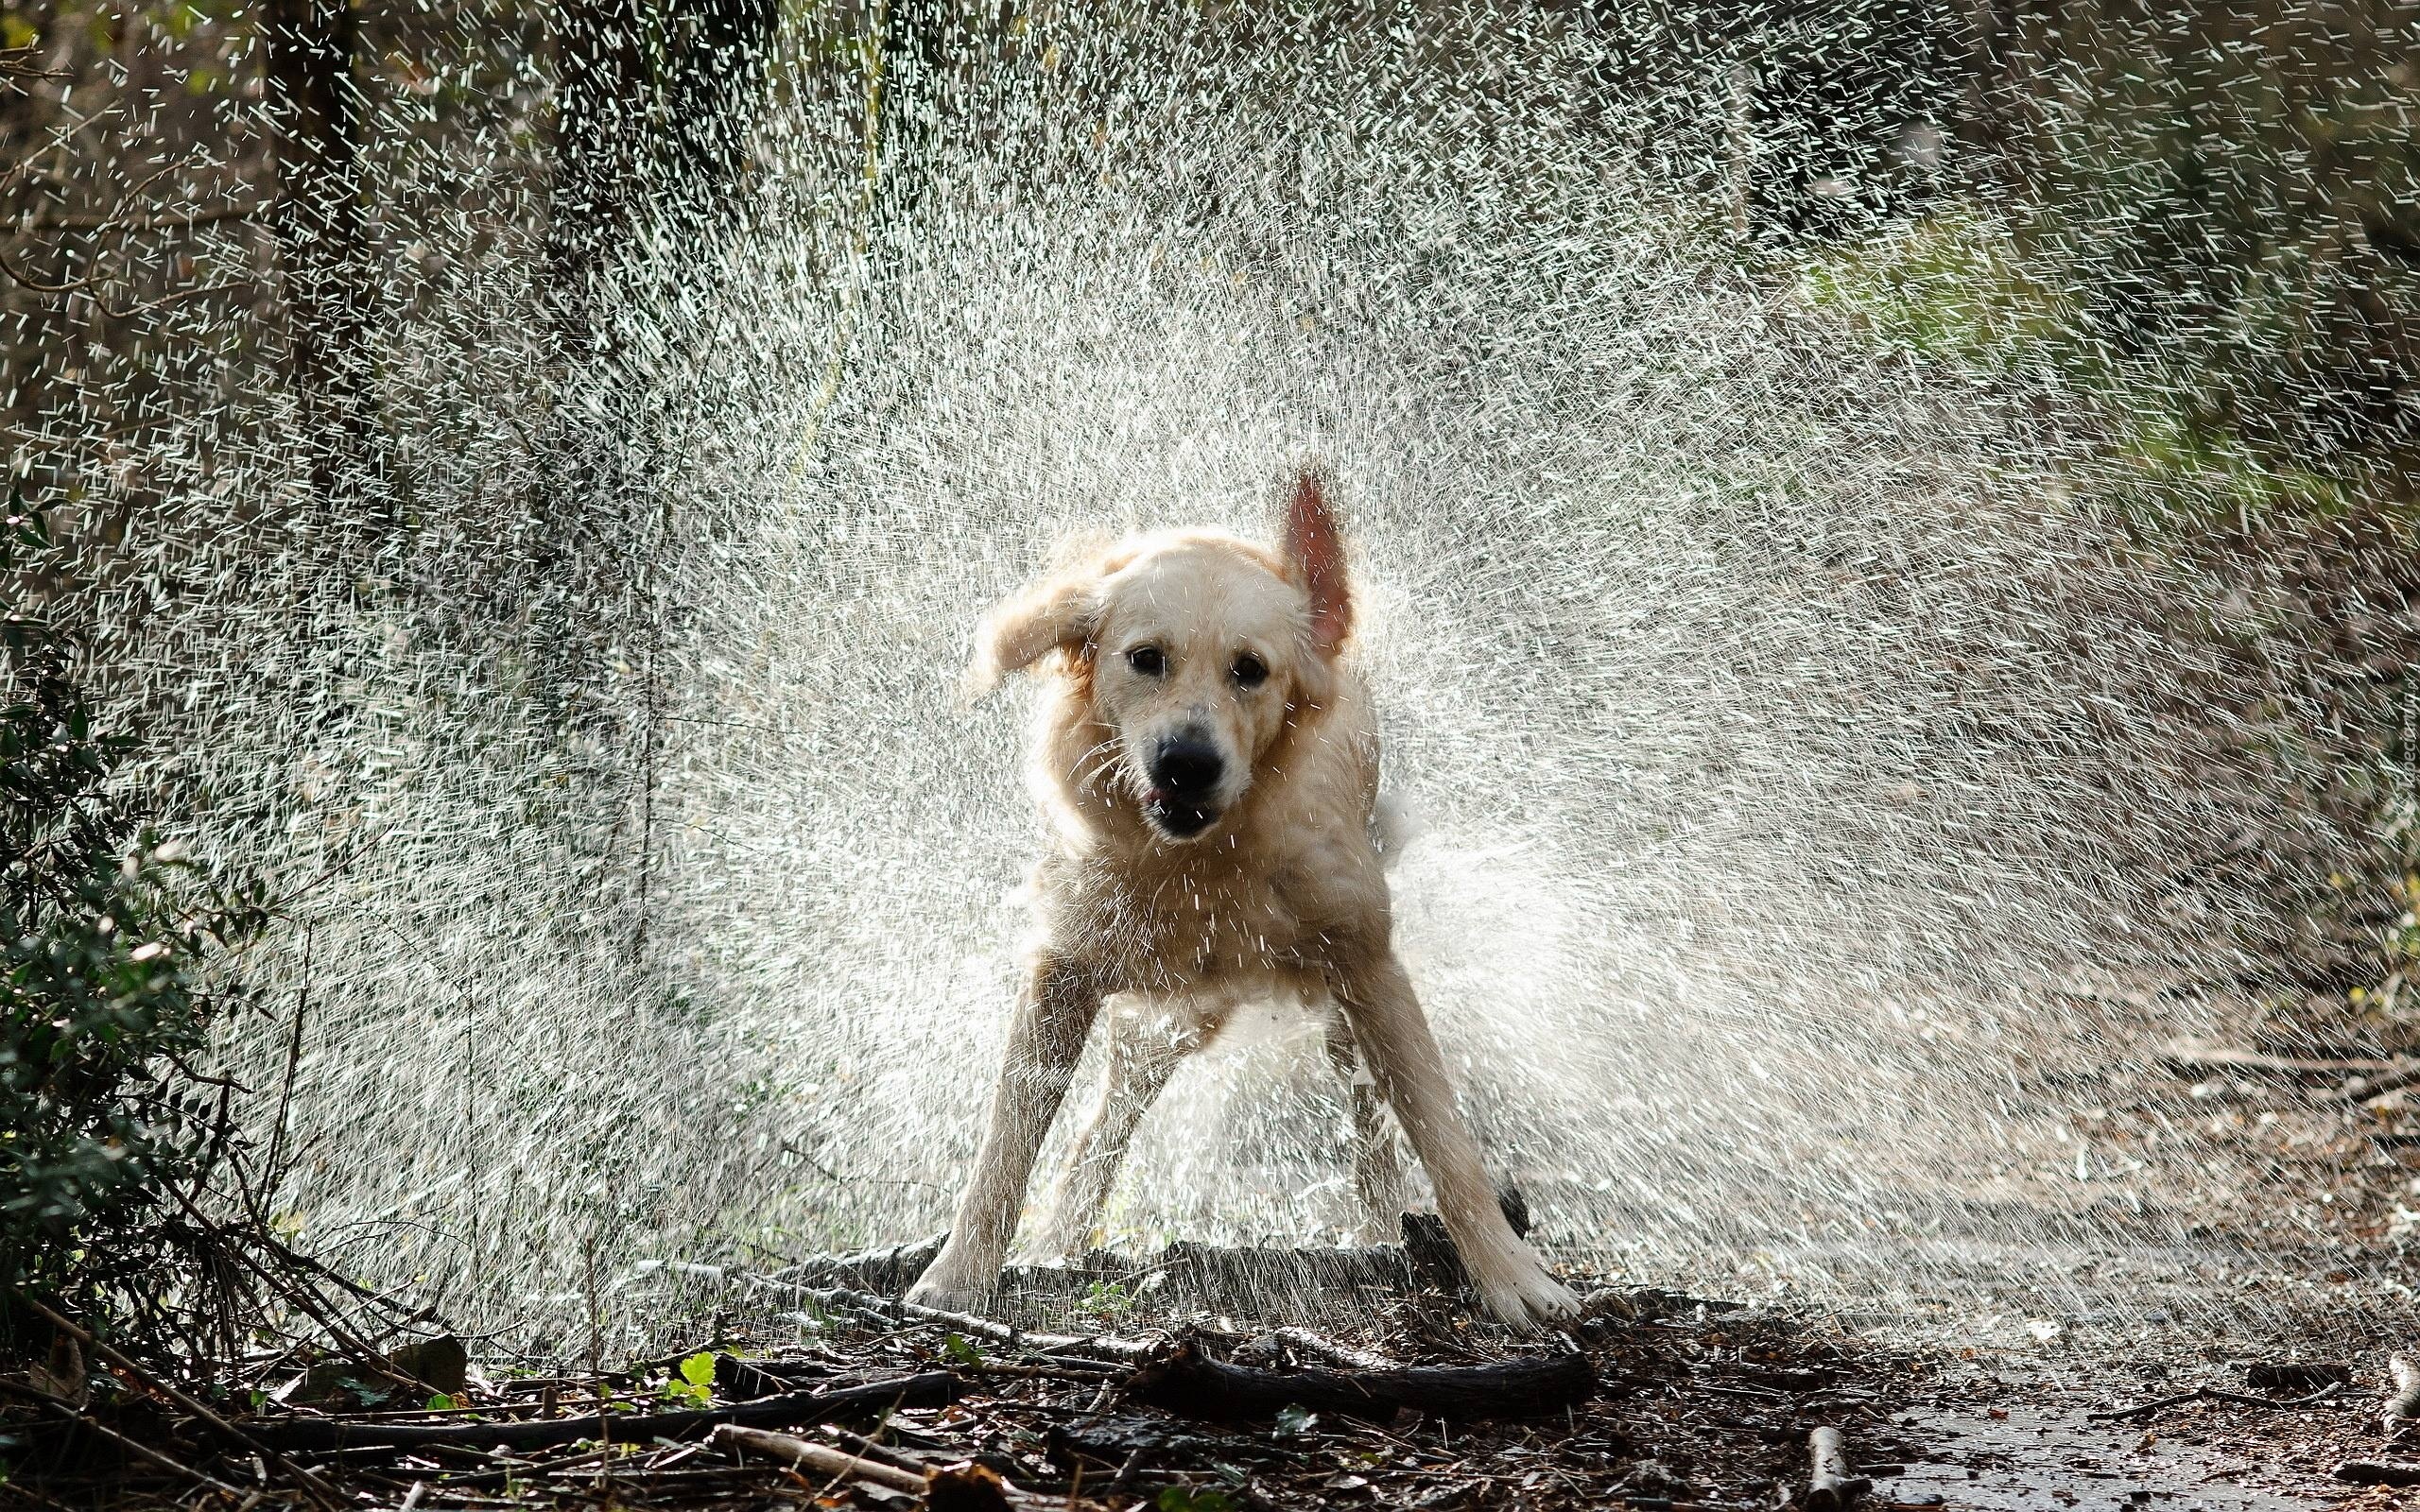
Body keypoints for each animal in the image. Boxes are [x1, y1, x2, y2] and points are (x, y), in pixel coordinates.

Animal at [909, 467, 1587, 1325]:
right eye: (1146, 659)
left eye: (1251, 670)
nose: (1186, 763)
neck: (1205, 862)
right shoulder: (1062, 969)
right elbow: (1007, 1142)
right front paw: (959, 1274)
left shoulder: (1369, 967)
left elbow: (1443, 1138)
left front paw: (1512, 1278)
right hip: (1164, 1020)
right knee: (1106, 1124)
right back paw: (1061, 1238)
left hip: (1332, 1009)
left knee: (1368, 1122)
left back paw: (1377, 1232)